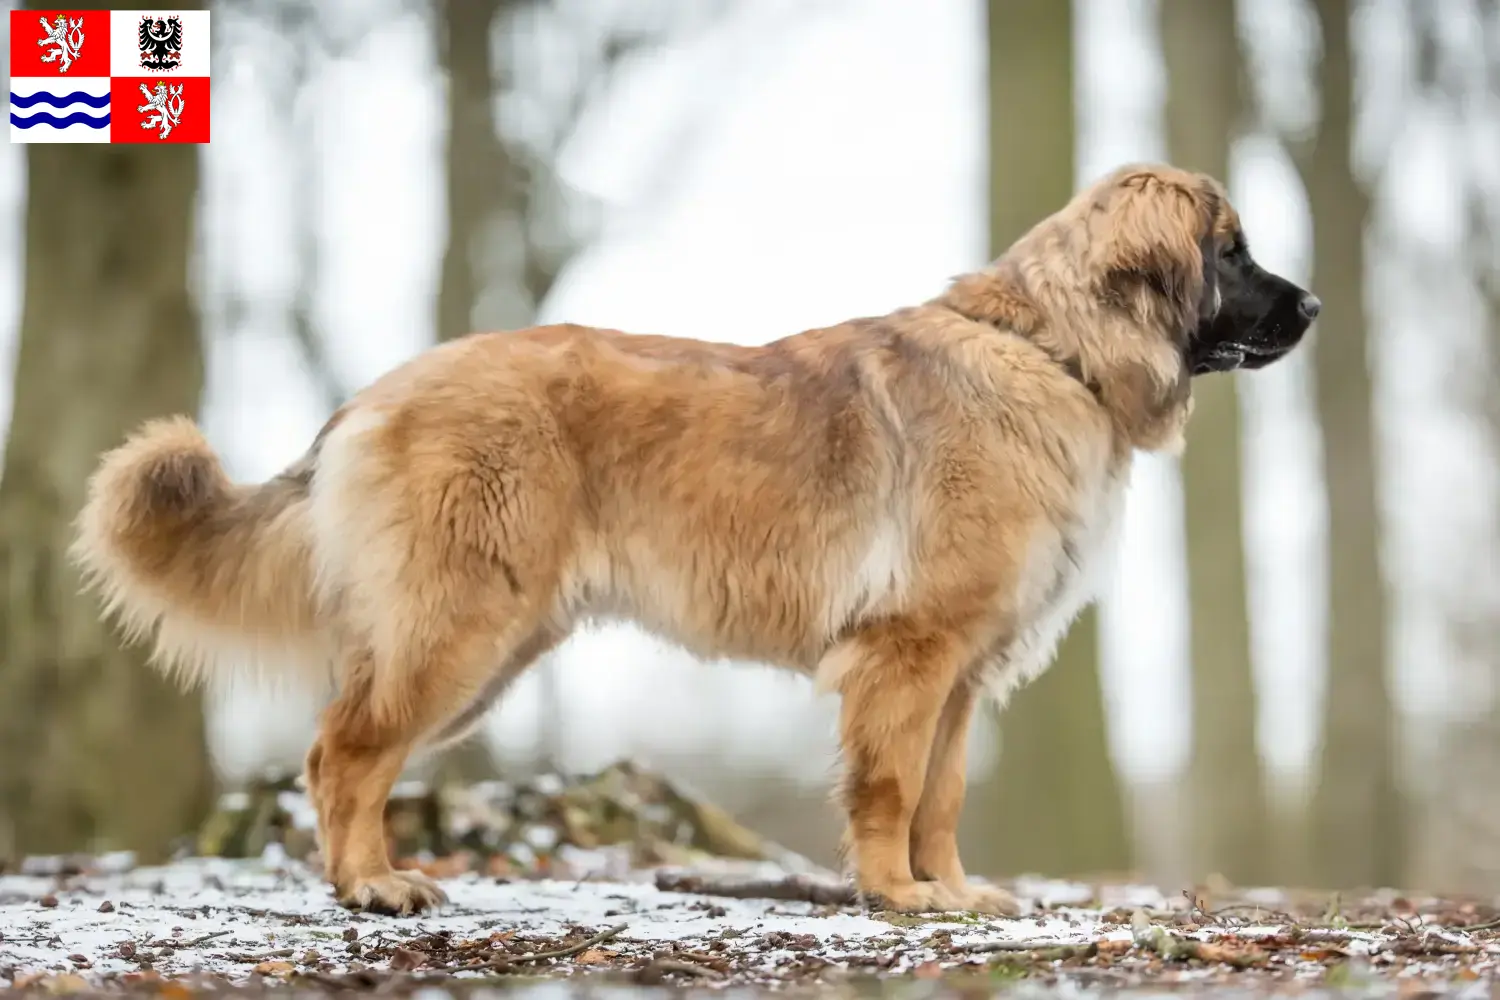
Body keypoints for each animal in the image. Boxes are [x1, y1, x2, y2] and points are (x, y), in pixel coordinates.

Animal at [70, 162, 1320, 917]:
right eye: (1233, 251)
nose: (1312, 308)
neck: (1052, 351)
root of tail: (375, 393)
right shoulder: (907, 654)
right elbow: (888, 786)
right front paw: (894, 894)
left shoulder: (963, 672)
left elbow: (942, 793)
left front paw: (952, 892)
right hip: (460, 630)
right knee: (344, 752)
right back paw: (375, 888)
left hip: (484, 646)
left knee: (345, 753)